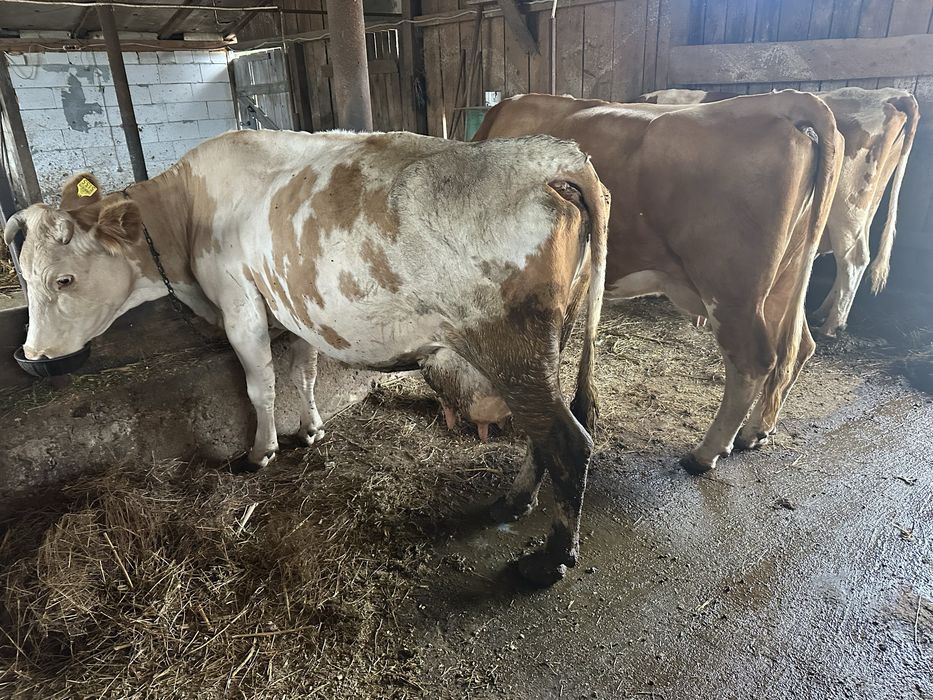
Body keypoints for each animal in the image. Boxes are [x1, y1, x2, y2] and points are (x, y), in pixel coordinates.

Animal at [4, 129, 610, 586]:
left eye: (63, 278)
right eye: (24, 277)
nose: (32, 355)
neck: (189, 209)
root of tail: (552, 156)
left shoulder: (240, 305)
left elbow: (260, 383)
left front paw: (261, 451)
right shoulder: (292, 308)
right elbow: (304, 371)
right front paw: (312, 429)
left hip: (512, 349)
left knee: (567, 440)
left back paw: (550, 559)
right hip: (546, 346)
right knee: (544, 434)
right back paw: (513, 503)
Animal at [458, 91, 843, 476]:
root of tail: (786, 101)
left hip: (732, 292)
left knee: (753, 362)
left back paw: (706, 453)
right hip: (784, 282)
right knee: (797, 347)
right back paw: (756, 430)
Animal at [638, 87, 921, 337]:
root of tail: (892, 95)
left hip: (848, 205)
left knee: (853, 259)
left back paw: (832, 325)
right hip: (865, 206)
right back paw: (823, 313)